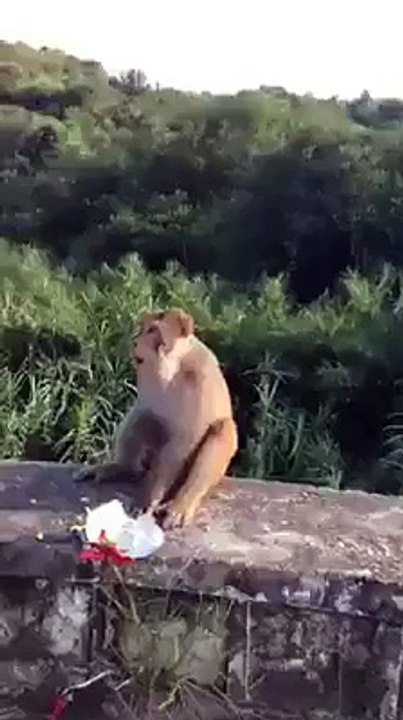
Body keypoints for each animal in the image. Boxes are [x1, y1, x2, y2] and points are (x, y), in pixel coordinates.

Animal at [74, 309, 238, 529]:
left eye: (153, 330)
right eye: (144, 328)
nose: (137, 341)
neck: (172, 367)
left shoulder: (199, 381)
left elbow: (184, 440)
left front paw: (154, 498)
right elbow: (144, 412)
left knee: (222, 429)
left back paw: (181, 503)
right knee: (140, 419)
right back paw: (122, 468)